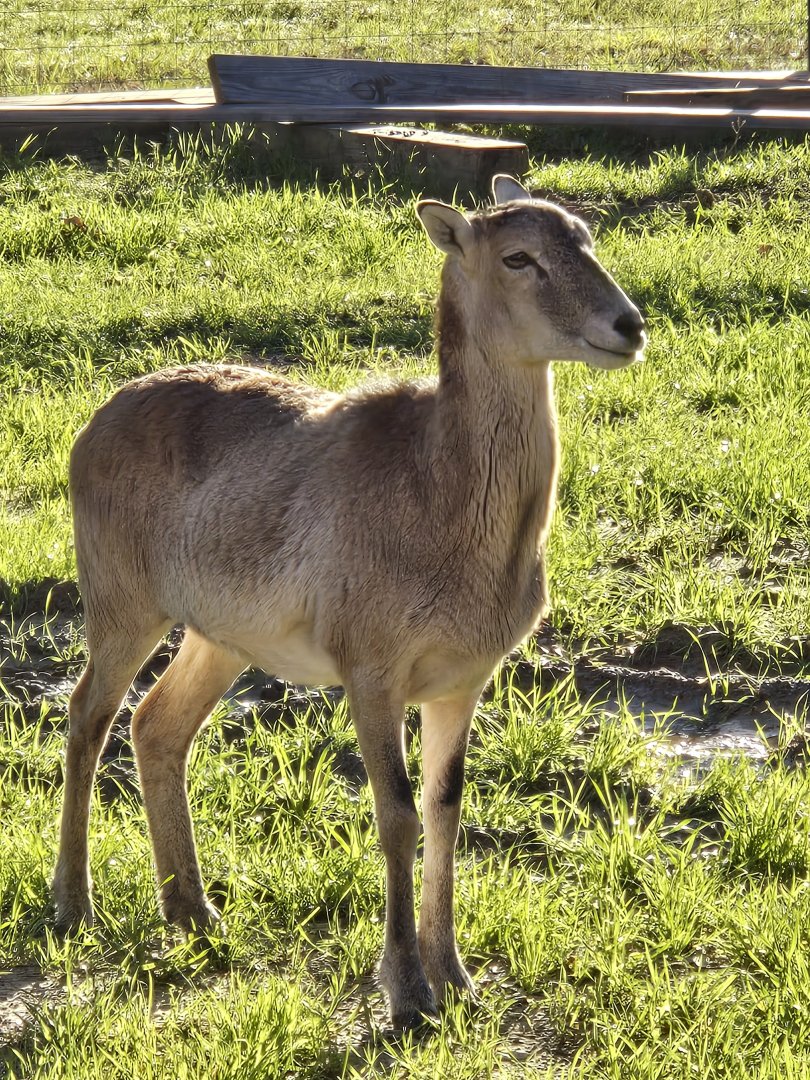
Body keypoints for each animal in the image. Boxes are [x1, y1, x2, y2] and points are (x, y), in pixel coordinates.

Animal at [52, 175, 645, 1029]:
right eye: (518, 256)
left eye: (586, 235)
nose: (627, 326)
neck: (442, 500)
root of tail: (93, 424)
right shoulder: (372, 666)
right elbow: (394, 810)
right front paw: (406, 990)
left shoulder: (464, 678)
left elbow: (445, 806)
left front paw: (457, 977)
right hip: (122, 603)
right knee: (87, 715)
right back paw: (75, 904)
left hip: (219, 636)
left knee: (157, 724)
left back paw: (194, 913)